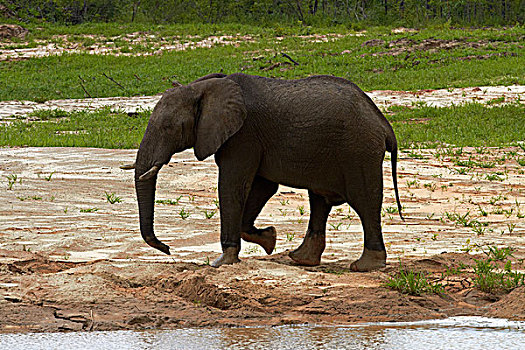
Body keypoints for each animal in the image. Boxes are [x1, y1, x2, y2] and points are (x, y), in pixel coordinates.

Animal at [131, 73, 402, 270]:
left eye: (168, 127)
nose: (167, 249)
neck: (203, 87)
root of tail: (383, 123)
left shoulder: (243, 135)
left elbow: (233, 184)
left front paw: (221, 263)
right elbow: (262, 186)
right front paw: (270, 239)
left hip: (358, 151)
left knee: (364, 202)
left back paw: (365, 266)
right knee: (320, 201)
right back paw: (300, 259)